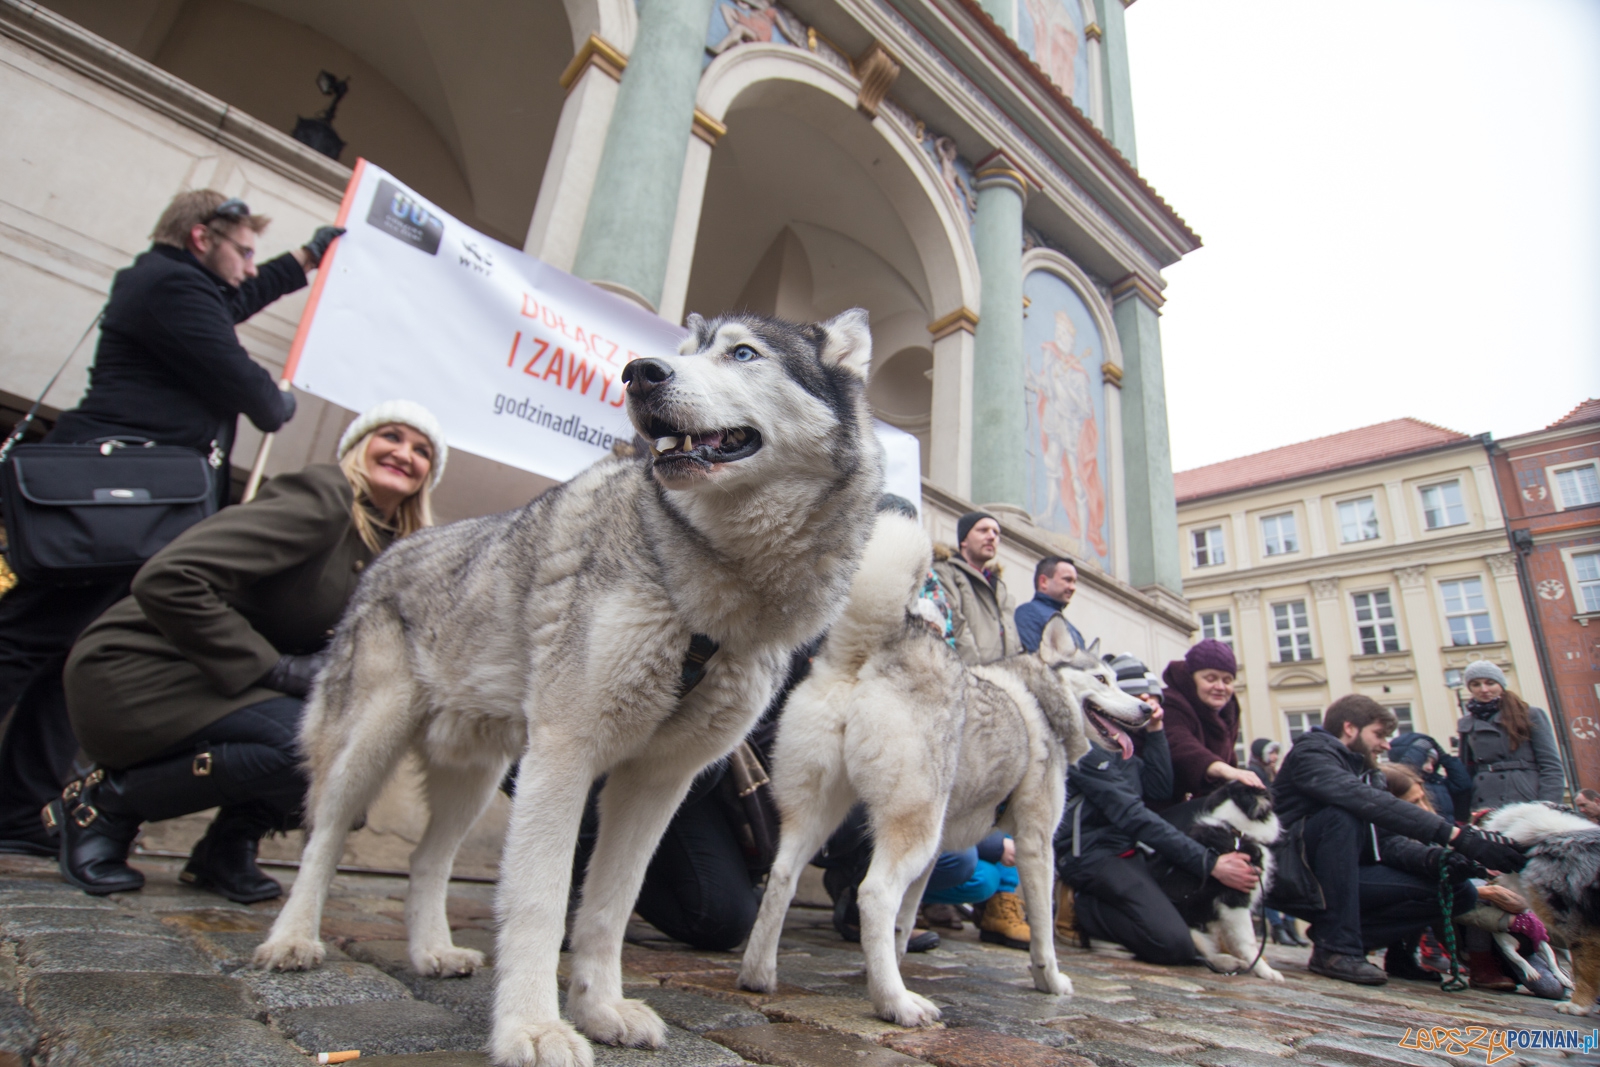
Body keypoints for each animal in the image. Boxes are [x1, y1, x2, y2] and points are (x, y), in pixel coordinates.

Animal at [257, 310, 896, 1067]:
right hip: (373, 742)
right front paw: (532, 1028)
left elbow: (609, 905)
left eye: (744, 353)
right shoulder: (564, 755)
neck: (711, 600)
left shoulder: (657, 781)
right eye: (685, 351)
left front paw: (601, 1010)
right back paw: (293, 938)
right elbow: (540, 898)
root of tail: (391, 548)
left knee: (426, 858)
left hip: (477, 773)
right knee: (322, 839)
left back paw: (433, 952)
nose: (639, 372)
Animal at [736, 511, 1152, 1030]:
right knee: (874, 893)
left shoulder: (935, 854)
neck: (1040, 701)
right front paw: (1050, 981)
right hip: (911, 826)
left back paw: (759, 974)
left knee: (782, 878)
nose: (1148, 710)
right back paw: (896, 1003)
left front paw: (886, 960)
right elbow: (1043, 932)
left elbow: (906, 918)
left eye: (1117, 680)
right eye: (1102, 680)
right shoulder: (1035, 844)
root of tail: (875, 648)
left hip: (822, 815)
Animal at [1177, 780, 1286, 979]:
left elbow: (1229, 938)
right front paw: (1266, 971)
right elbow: (1248, 941)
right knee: (1199, 954)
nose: (1271, 785)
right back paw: (1230, 963)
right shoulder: (1235, 901)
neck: (1238, 832)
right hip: (1190, 932)